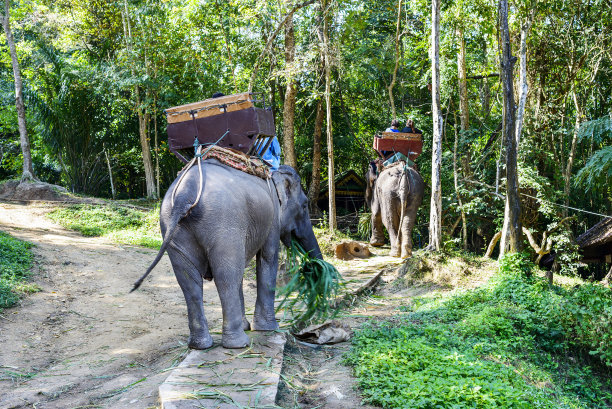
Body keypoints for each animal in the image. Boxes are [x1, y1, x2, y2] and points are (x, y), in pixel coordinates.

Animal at [132, 161, 322, 350]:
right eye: (305, 205)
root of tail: (183, 195)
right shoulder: (272, 220)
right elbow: (267, 258)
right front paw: (268, 328)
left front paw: (248, 326)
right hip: (224, 224)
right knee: (226, 278)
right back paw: (238, 344)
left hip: (174, 229)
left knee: (189, 281)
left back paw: (200, 345)